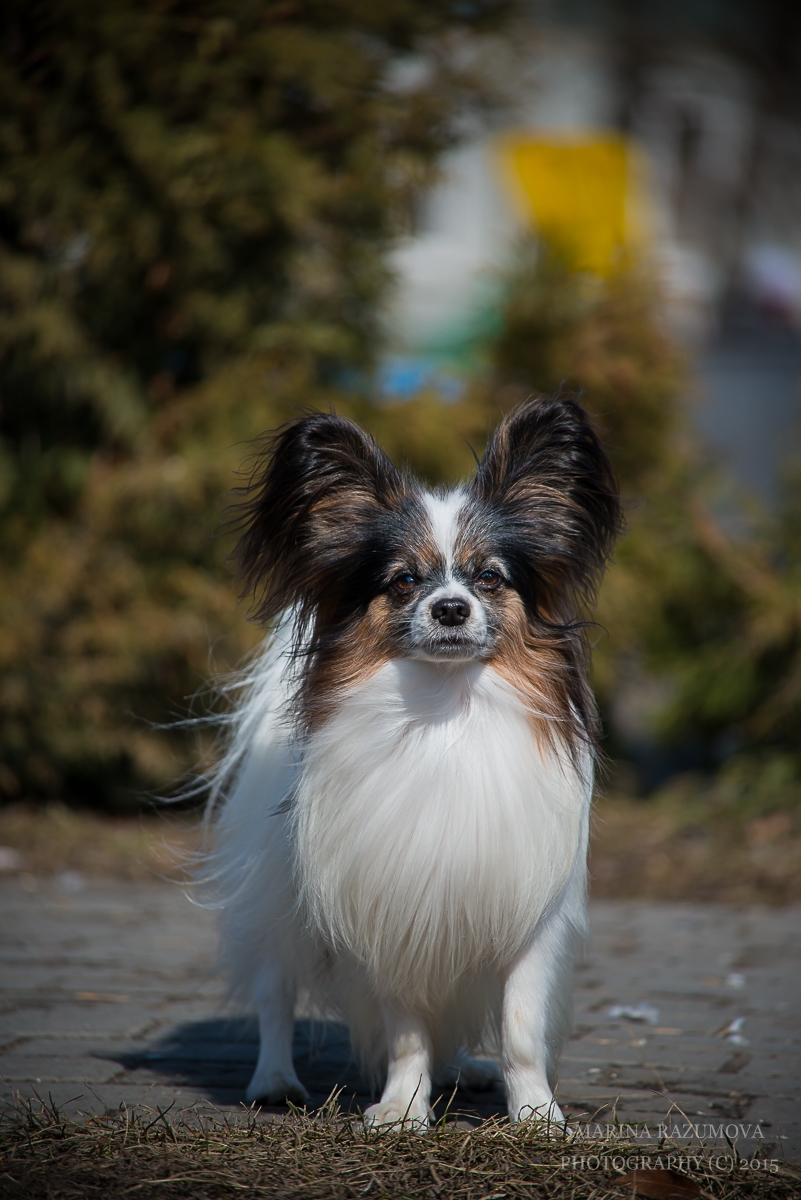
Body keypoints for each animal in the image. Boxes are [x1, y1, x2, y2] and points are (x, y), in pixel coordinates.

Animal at [203, 398, 623, 1128]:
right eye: (403, 581)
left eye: (489, 577)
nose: (451, 607)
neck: (444, 717)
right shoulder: (388, 907)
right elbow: (404, 1031)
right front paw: (401, 1108)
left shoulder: (523, 913)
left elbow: (519, 1027)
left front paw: (536, 1113)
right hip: (278, 906)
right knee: (274, 994)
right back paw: (274, 1080)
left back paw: (464, 1069)